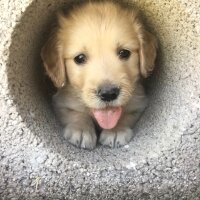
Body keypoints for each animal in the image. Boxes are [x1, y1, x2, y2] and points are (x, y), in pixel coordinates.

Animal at [40, 0, 157, 148]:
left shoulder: (139, 102)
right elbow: (76, 113)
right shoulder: (61, 101)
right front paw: (81, 129)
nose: (108, 93)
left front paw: (116, 130)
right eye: (79, 58)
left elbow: (126, 114)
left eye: (124, 53)